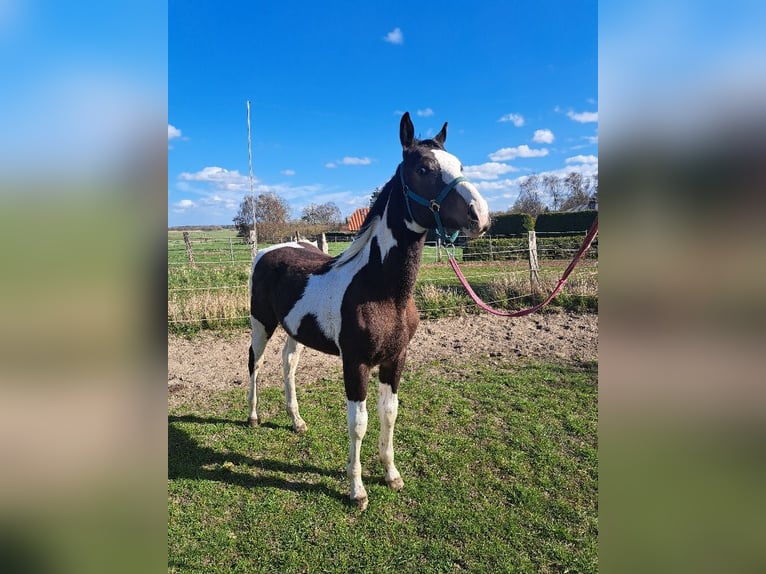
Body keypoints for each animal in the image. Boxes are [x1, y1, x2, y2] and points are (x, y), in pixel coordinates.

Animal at [248, 112, 490, 510]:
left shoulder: (395, 359)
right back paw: (252, 416)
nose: (480, 216)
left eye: (459, 165)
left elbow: (388, 413)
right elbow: (357, 423)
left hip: (294, 330)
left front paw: (391, 475)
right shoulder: (355, 363)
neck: (383, 290)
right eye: (423, 168)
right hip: (261, 324)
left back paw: (296, 420)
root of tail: (268, 250)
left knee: (288, 363)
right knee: (254, 362)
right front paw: (357, 489)